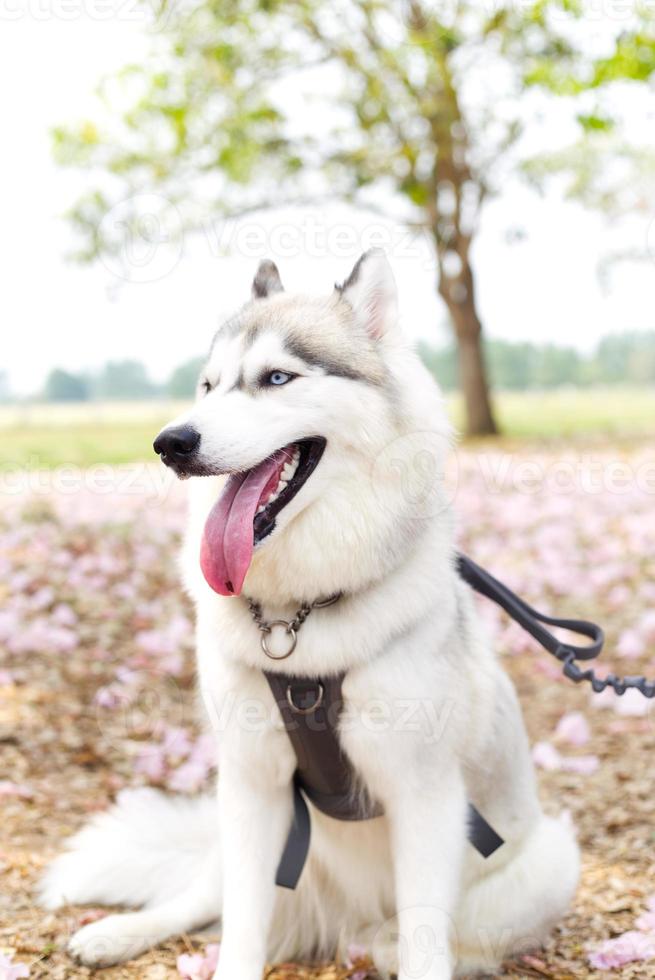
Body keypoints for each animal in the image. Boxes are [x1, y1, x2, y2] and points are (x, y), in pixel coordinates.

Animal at [42, 249, 580, 976]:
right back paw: (119, 933)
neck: (295, 616)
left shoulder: (425, 797)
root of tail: (336, 922)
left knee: (426, 936)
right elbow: (241, 927)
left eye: (276, 378)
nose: (170, 442)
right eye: (207, 386)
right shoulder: (252, 786)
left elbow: (424, 935)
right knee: (200, 898)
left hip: (549, 861)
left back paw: (378, 942)